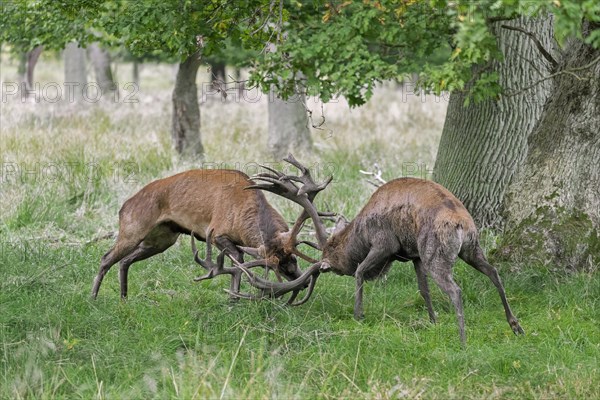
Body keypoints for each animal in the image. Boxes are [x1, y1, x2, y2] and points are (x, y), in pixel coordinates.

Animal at [92, 167, 314, 298]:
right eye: (278, 267)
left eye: (294, 258)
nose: (302, 283)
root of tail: (123, 207)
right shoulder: (216, 233)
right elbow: (238, 263)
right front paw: (233, 299)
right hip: (132, 230)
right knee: (106, 258)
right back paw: (93, 298)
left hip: (160, 240)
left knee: (124, 261)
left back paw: (124, 298)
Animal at [227, 155, 524, 346]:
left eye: (332, 263)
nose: (328, 265)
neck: (359, 233)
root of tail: (461, 223)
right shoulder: (414, 254)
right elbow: (423, 289)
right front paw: (433, 320)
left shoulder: (385, 244)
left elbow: (360, 271)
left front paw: (358, 314)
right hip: (470, 248)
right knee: (493, 272)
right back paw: (515, 325)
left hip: (436, 252)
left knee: (456, 289)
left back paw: (462, 340)